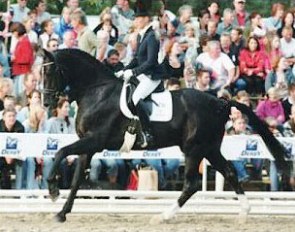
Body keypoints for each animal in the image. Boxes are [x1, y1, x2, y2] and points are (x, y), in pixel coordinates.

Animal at [43, 49, 292, 223]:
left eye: (51, 71)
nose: (46, 102)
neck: (98, 91)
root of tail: (220, 102)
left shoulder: (94, 140)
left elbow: (61, 152)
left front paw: (53, 190)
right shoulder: (89, 146)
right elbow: (76, 179)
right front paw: (61, 213)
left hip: (194, 149)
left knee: (191, 184)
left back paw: (163, 216)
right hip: (209, 148)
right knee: (229, 172)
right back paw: (244, 212)